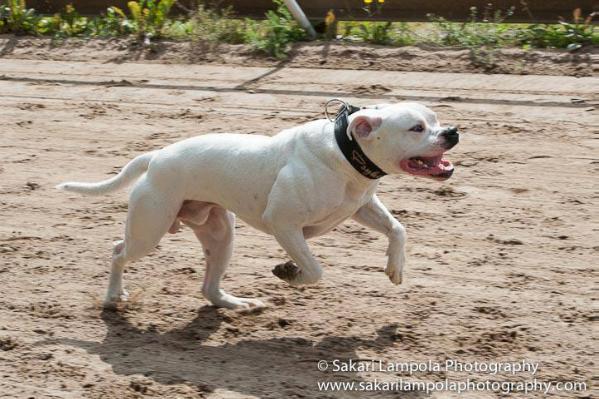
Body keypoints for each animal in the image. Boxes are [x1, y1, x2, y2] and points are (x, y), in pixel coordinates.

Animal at [57, 101, 460, 310]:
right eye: (416, 128)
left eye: (436, 120)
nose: (453, 131)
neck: (345, 153)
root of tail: (155, 157)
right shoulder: (285, 225)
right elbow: (315, 269)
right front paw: (290, 273)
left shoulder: (362, 207)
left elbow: (398, 229)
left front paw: (395, 268)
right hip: (150, 229)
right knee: (118, 251)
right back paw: (113, 297)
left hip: (220, 235)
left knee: (209, 288)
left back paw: (236, 304)